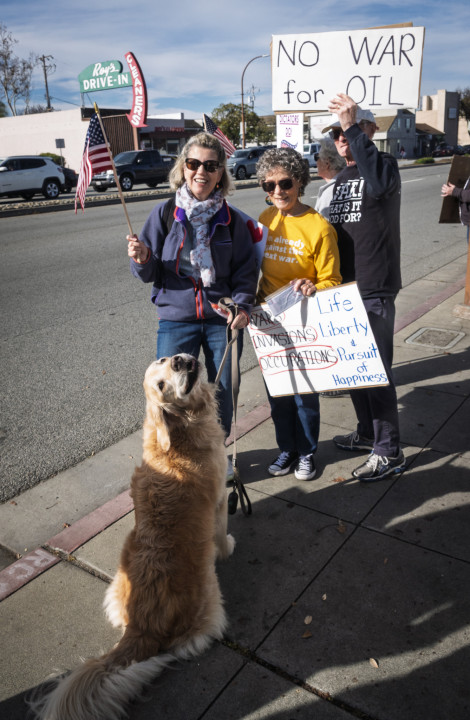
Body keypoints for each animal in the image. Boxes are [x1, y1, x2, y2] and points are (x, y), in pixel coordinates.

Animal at [32, 354, 235, 720]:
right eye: (161, 385)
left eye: (164, 361)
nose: (181, 360)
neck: (178, 434)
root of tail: (142, 627)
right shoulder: (219, 501)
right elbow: (222, 532)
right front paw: (227, 548)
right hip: (209, 605)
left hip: (114, 587)